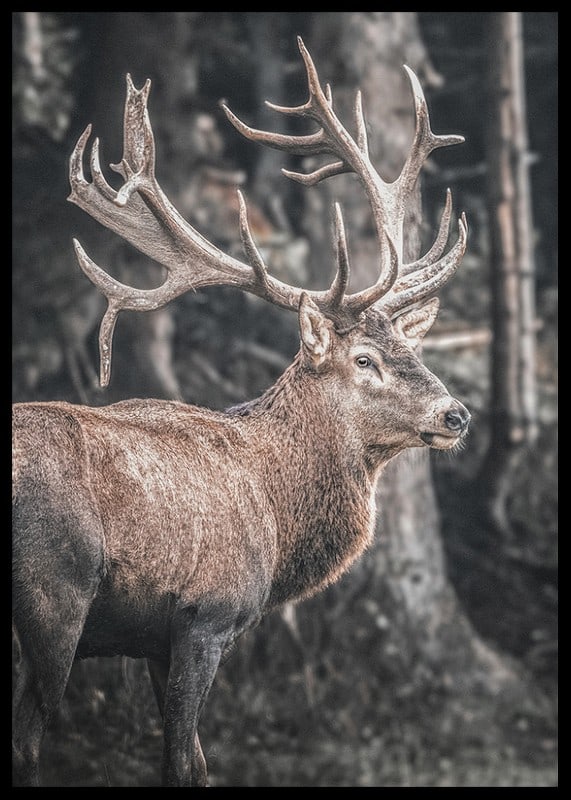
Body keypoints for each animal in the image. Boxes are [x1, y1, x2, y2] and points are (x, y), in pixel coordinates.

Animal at [12, 37, 470, 787]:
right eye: (363, 360)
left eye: (410, 345)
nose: (456, 414)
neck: (277, 521)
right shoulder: (205, 614)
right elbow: (184, 760)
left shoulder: (152, 640)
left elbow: (192, 758)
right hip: (54, 595)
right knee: (27, 740)